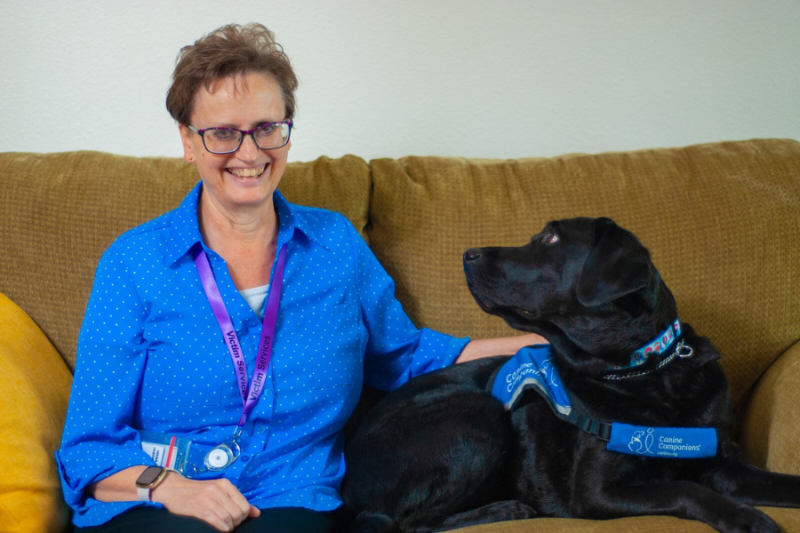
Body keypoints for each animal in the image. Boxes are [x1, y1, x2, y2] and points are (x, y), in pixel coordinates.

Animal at [340, 216, 800, 532]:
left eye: (551, 238)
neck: (645, 374)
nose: (467, 254)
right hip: (481, 414)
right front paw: (746, 517)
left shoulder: (726, 463)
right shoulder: (594, 493)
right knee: (405, 523)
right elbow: (687, 488)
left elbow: (777, 482)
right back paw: (506, 509)